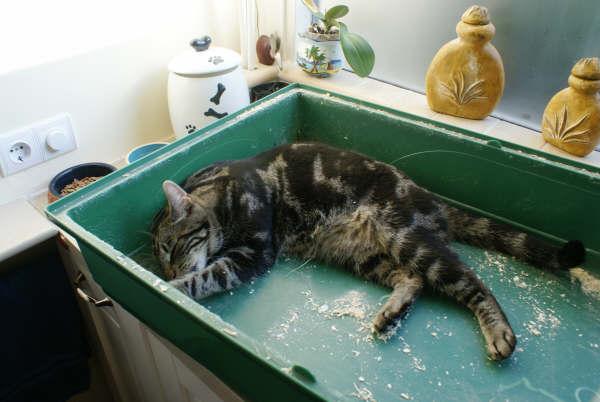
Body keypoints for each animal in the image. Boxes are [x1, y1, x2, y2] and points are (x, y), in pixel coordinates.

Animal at [151, 142, 585, 360]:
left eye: (170, 248)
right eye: (160, 255)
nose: (168, 271)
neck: (222, 192)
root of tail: (434, 201)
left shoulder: (253, 254)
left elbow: (208, 275)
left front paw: (173, 288)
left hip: (405, 237)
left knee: (473, 282)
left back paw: (499, 332)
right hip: (365, 255)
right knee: (413, 280)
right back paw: (391, 314)